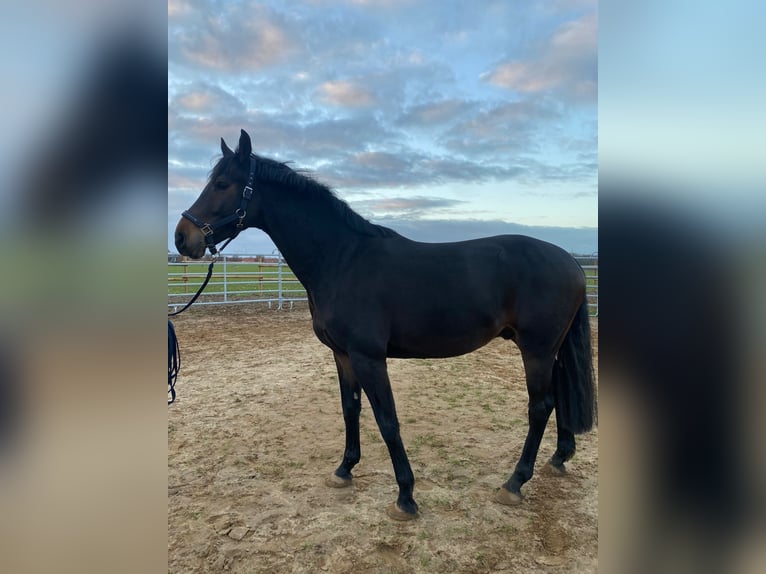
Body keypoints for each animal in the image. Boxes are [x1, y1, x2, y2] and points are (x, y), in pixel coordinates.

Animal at [177, 129, 596, 520]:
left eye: (222, 184)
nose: (183, 238)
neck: (342, 259)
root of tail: (572, 263)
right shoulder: (343, 356)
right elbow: (351, 409)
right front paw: (344, 469)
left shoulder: (369, 358)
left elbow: (387, 420)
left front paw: (405, 496)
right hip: (550, 349)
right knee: (558, 397)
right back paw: (559, 458)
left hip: (536, 350)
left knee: (540, 407)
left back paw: (514, 483)